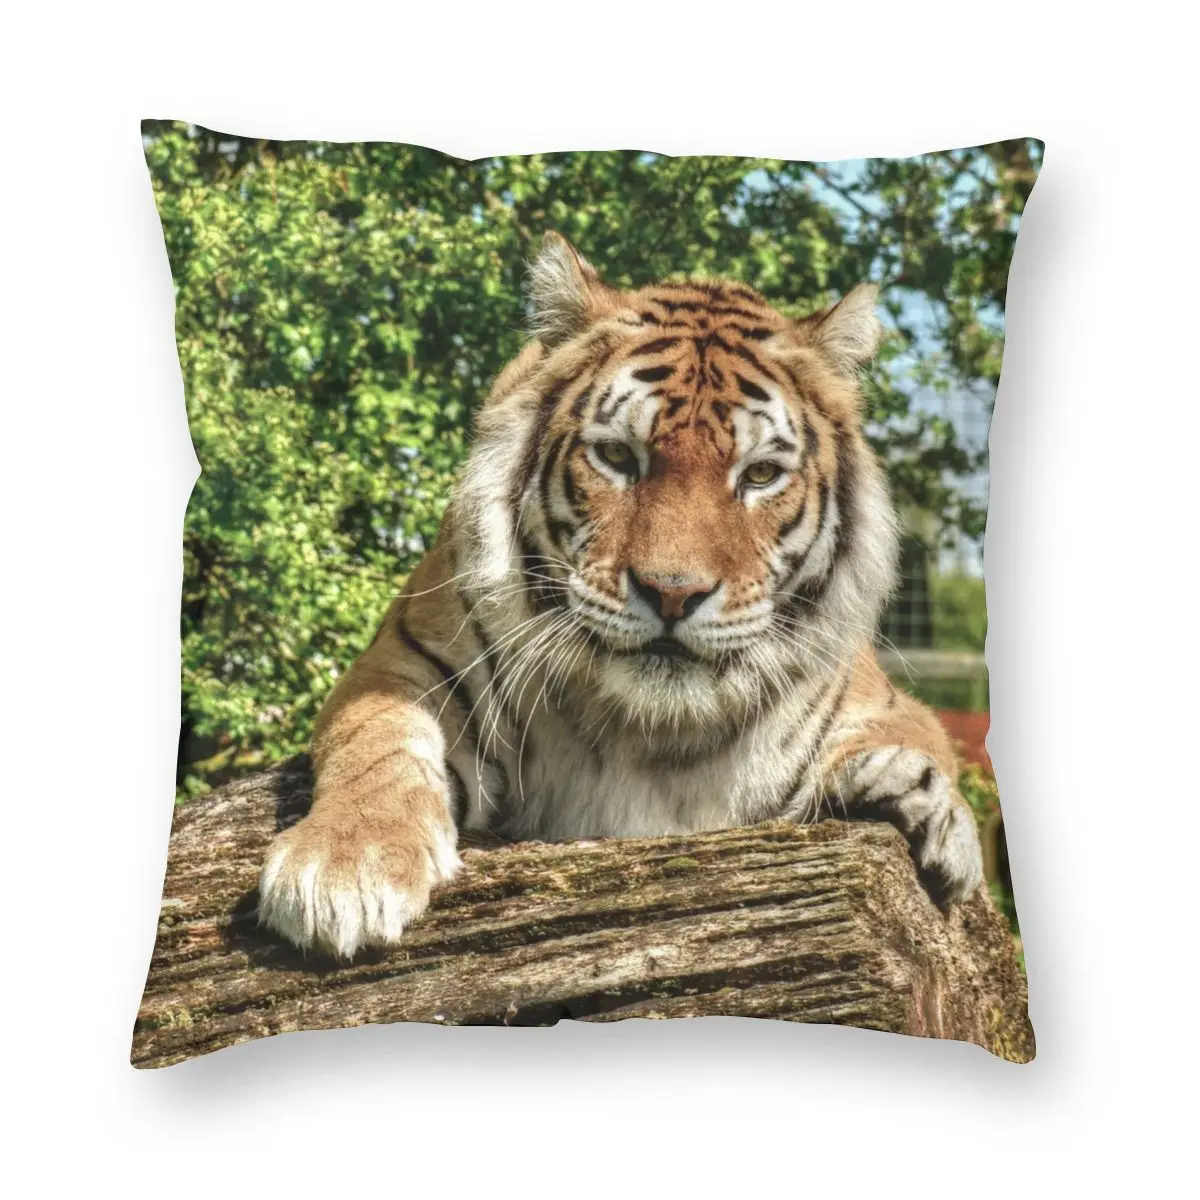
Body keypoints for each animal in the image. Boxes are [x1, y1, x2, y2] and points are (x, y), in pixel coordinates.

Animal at [257, 232, 985, 958]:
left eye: (760, 474)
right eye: (616, 457)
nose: (673, 594)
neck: (650, 731)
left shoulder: (877, 700)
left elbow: (915, 745)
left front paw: (926, 807)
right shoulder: (409, 659)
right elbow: (380, 741)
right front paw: (347, 865)